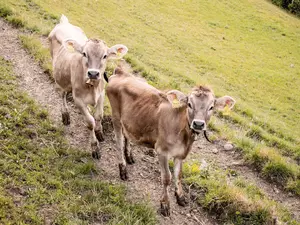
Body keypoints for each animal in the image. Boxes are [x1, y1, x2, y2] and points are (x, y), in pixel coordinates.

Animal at [48, 15, 128, 158]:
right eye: (84, 54)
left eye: (105, 56)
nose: (93, 73)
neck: (92, 86)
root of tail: (64, 23)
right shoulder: (78, 100)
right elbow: (90, 122)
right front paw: (94, 147)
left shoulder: (101, 94)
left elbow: (99, 116)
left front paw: (99, 132)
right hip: (60, 76)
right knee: (63, 94)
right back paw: (65, 114)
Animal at [106, 66, 236, 217]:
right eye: (189, 104)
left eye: (211, 107)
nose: (198, 124)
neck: (184, 137)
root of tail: (120, 72)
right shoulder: (162, 151)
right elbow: (167, 178)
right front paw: (165, 204)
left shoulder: (181, 155)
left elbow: (178, 175)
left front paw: (180, 197)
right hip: (116, 116)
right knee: (119, 141)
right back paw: (123, 169)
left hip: (130, 121)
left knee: (127, 135)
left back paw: (129, 156)